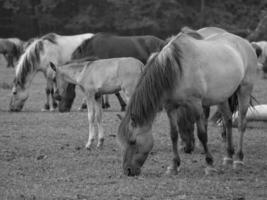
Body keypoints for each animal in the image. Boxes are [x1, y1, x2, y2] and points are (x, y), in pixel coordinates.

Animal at [118, 28, 260, 177]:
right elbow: (173, 134)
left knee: (241, 124)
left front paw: (209, 164)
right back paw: (228, 157)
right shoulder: (170, 107)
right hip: (222, 97)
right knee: (227, 121)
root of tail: (246, 43)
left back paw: (238, 159)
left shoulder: (196, 105)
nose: (128, 170)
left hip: (244, 90)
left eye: (132, 141)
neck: (175, 69)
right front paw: (174, 165)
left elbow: (202, 134)